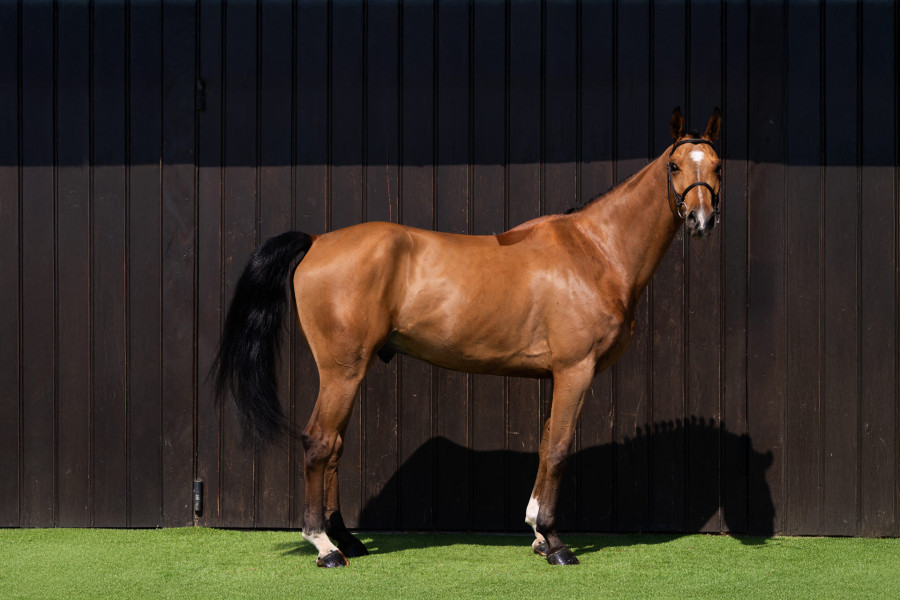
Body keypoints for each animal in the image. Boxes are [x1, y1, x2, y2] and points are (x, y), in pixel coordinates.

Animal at [213, 107, 723, 567]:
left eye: (717, 165)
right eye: (674, 166)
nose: (701, 220)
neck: (594, 251)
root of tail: (318, 241)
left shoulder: (556, 375)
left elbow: (545, 445)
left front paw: (537, 533)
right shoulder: (575, 370)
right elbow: (559, 450)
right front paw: (556, 543)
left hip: (348, 373)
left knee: (335, 445)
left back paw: (346, 539)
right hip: (341, 370)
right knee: (319, 441)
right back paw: (324, 546)